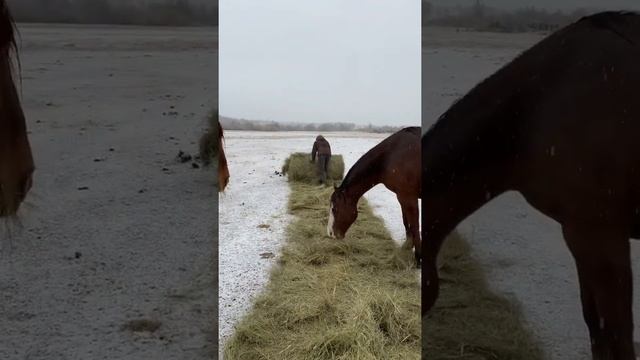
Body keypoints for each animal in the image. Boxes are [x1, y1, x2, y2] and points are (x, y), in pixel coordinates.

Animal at [328, 127, 422, 268]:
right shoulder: (401, 196)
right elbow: (406, 221)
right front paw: (407, 246)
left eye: (334, 209)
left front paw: (419, 259)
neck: (391, 155)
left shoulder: (408, 196)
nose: (331, 234)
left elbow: (415, 226)